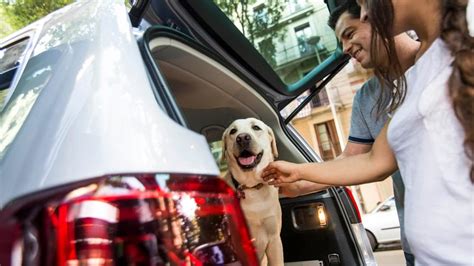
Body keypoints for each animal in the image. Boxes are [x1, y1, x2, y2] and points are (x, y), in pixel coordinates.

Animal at [221, 118, 284, 266]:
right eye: (233, 131)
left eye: (256, 127)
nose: (242, 138)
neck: (251, 187)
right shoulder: (243, 246)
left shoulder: (274, 240)